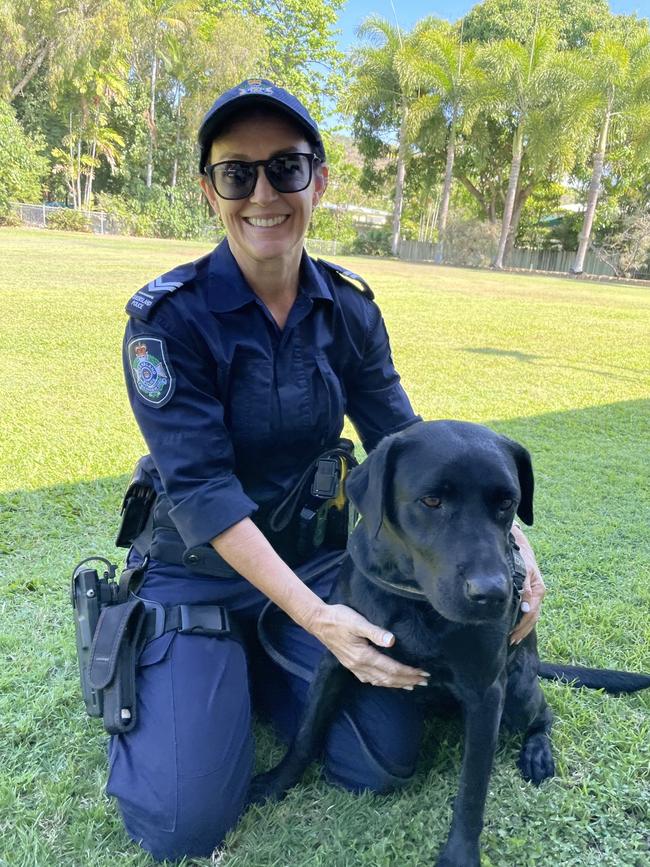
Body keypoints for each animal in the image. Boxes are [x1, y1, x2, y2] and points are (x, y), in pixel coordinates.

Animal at [249, 418, 648, 860]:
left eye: (507, 503)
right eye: (431, 501)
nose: (494, 594)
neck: (414, 601)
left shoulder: (486, 694)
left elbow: (472, 789)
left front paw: (460, 854)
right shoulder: (337, 656)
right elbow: (306, 731)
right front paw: (275, 782)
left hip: (517, 693)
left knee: (544, 715)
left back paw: (537, 753)